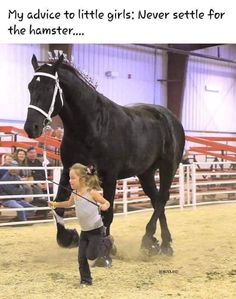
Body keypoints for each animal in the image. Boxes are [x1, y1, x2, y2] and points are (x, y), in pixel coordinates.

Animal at [24, 55, 186, 258]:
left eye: (48, 88)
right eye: (30, 87)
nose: (31, 127)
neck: (92, 126)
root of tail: (170, 118)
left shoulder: (109, 176)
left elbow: (106, 213)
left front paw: (105, 248)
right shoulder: (69, 171)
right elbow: (59, 207)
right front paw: (69, 237)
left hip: (168, 167)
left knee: (162, 198)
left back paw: (149, 240)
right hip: (146, 173)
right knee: (156, 199)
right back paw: (164, 244)